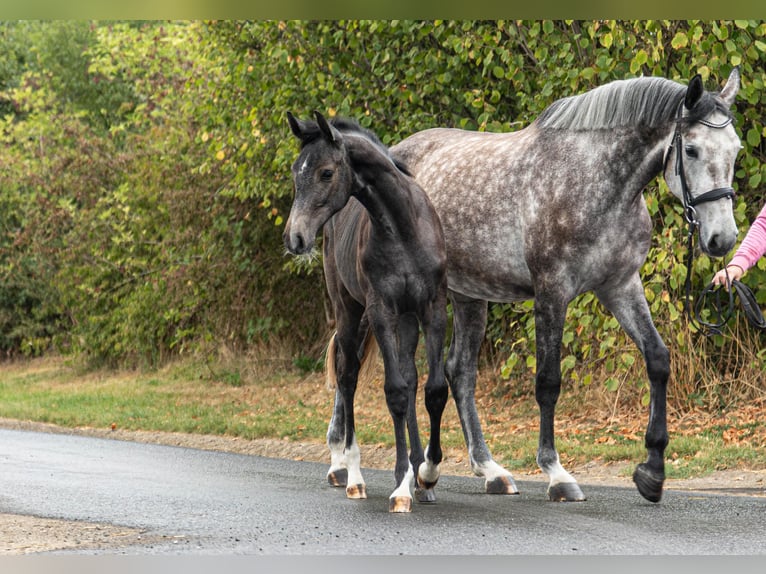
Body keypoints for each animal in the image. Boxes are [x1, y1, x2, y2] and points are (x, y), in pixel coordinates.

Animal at [283, 111, 450, 512]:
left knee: (410, 375)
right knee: (348, 375)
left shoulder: (432, 308)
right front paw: (402, 485)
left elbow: (432, 389)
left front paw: (427, 472)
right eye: (295, 171)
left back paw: (417, 472)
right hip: (348, 308)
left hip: (406, 319)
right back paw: (355, 476)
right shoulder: (380, 310)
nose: (294, 238)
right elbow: (395, 392)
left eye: (326, 172)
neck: (403, 229)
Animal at [390, 69, 742, 503]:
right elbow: (548, 383)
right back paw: (389, 471)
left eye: (736, 150)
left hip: (470, 295)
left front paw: (652, 471)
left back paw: (488, 470)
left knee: (461, 372)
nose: (722, 239)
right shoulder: (552, 292)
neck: (593, 180)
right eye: (691, 149)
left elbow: (658, 360)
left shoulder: (620, 286)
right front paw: (556, 473)